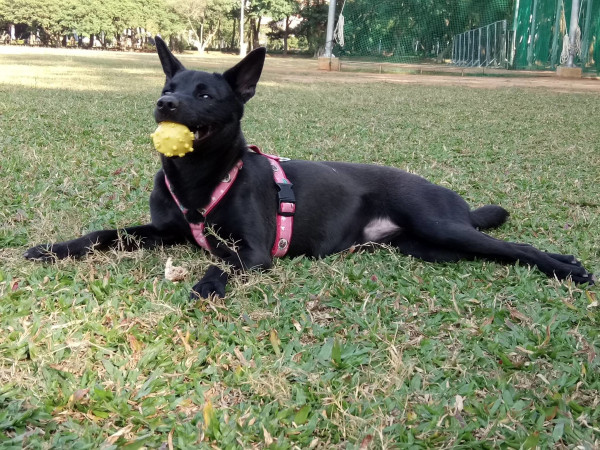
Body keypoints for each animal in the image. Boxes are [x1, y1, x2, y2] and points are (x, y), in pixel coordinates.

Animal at [24, 37, 596, 298]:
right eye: (169, 85)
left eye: (204, 93)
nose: (164, 105)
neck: (199, 180)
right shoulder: (163, 230)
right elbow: (103, 234)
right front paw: (54, 249)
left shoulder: (253, 251)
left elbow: (224, 262)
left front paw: (207, 285)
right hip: (430, 248)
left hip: (440, 227)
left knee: (517, 247)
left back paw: (567, 267)